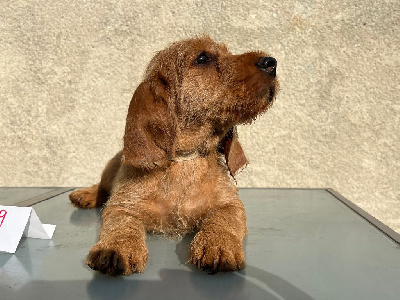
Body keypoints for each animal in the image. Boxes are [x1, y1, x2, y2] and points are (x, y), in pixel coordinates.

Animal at [69, 36, 278, 276]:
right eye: (203, 58)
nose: (271, 62)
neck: (184, 161)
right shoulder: (122, 204)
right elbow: (120, 224)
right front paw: (115, 248)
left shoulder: (230, 204)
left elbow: (223, 219)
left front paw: (217, 243)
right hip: (109, 168)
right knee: (102, 187)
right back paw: (86, 194)